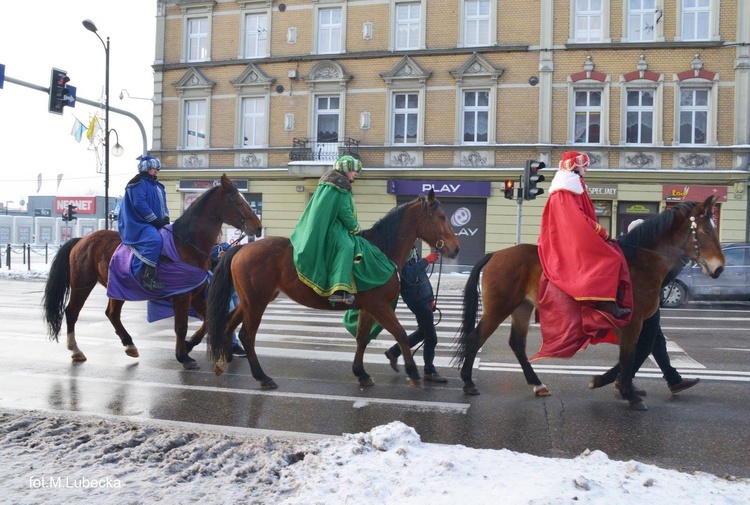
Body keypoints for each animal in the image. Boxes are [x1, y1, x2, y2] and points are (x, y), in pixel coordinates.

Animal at [42, 175, 264, 368]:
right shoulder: (182, 295)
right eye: (239, 201)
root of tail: (82, 240)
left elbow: (209, 319)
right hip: (83, 284)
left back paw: (129, 344)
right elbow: (181, 325)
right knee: (72, 311)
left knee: (112, 313)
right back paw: (75, 350)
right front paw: (183, 356)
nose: (258, 227)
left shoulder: (195, 294)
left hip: (119, 287)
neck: (187, 244)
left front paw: (189, 345)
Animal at [209, 191, 462, 388]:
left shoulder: (368, 308)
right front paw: (412, 372)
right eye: (441, 217)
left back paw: (225, 359)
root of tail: (241, 248)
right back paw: (262, 377)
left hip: (251, 300)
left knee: (229, 324)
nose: (455, 249)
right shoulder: (379, 305)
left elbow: (362, 339)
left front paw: (361, 373)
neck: (381, 250)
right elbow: (400, 334)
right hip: (256, 302)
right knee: (247, 335)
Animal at [456, 195, 724, 412]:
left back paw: (537, 384)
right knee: (477, 337)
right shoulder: (632, 322)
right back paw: (468, 381)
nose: (719, 268)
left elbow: (639, 352)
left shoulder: (640, 323)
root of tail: (495, 254)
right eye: (705, 232)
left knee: (517, 344)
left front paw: (614, 383)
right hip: (499, 307)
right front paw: (628, 393)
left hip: (522, 307)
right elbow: (630, 355)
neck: (639, 263)